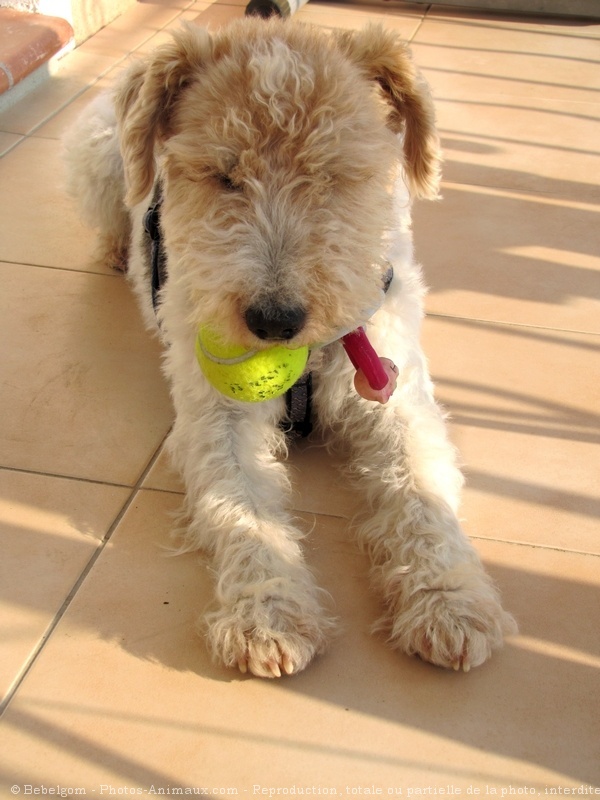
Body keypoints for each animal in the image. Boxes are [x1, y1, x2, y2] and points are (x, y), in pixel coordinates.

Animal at [64, 17, 516, 676]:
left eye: (335, 174)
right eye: (224, 175)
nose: (275, 321)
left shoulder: (396, 396)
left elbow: (421, 488)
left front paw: (448, 602)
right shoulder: (217, 416)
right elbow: (241, 508)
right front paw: (268, 615)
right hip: (98, 158)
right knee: (110, 213)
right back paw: (116, 252)